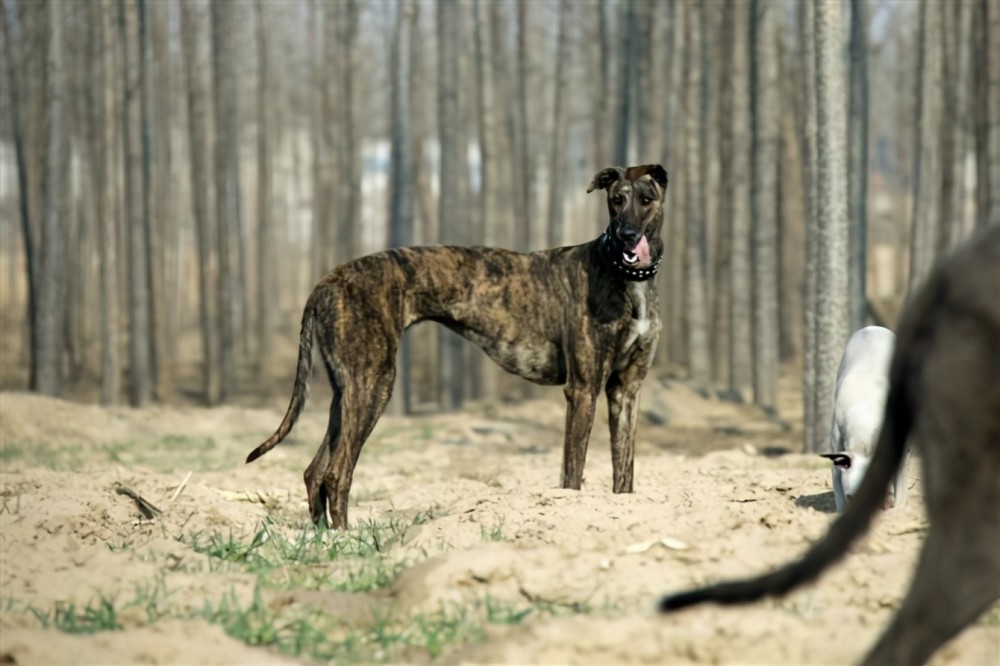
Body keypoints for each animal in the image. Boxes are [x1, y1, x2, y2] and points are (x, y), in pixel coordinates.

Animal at [246, 165, 668, 528]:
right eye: (616, 199)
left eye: (646, 199)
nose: (628, 235)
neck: (625, 275)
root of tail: (327, 280)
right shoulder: (582, 390)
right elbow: (572, 473)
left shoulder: (625, 391)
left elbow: (624, 474)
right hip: (373, 385)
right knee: (337, 473)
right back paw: (344, 539)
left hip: (345, 392)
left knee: (315, 471)